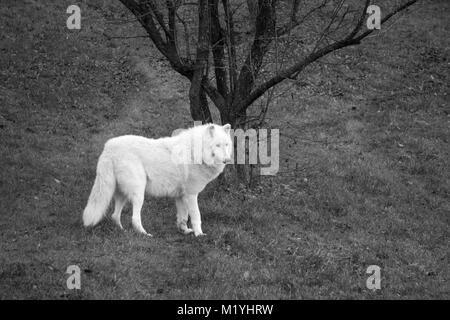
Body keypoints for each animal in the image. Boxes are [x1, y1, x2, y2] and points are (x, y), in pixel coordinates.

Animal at [82, 124, 234, 236]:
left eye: (226, 144)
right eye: (217, 145)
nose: (227, 160)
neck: (195, 153)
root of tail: (108, 147)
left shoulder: (181, 196)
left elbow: (183, 217)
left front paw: (184, 231)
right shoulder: (191, 195)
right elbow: (197, 216)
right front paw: (199, 235)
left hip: (122, 194)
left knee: (114, 215)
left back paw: (122, 231)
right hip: (138, 194)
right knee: (134, 219)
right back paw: (144, 234)